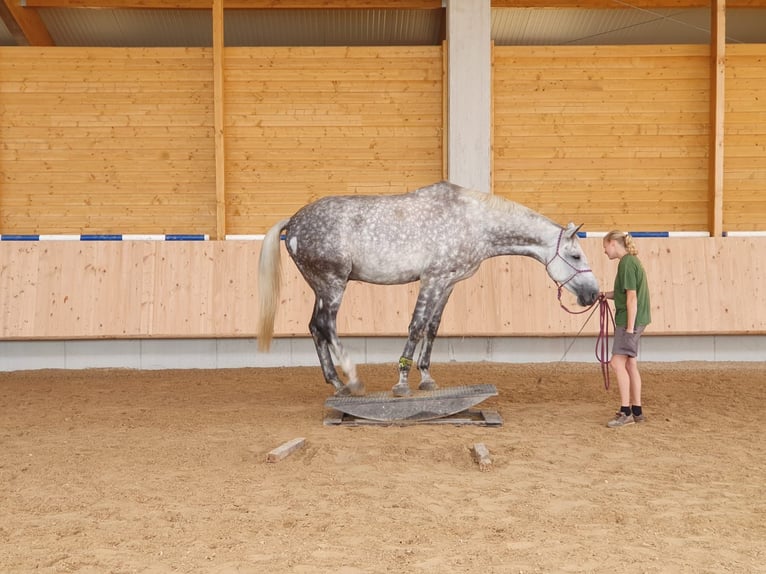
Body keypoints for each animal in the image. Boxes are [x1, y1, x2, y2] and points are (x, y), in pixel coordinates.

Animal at [258, 182, 600, 398]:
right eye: (575, 256)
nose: (592, 295)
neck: (473, 221)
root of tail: (294, 221)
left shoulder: (447, 283)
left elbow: (433, 328)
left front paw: (426, 378)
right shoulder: (432, 279)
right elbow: (416, 326)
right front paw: (401, 383)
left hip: (320, 287)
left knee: (315, 328)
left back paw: (336, 383)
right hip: (333, 284)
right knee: (327, 325)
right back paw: (352, 380)